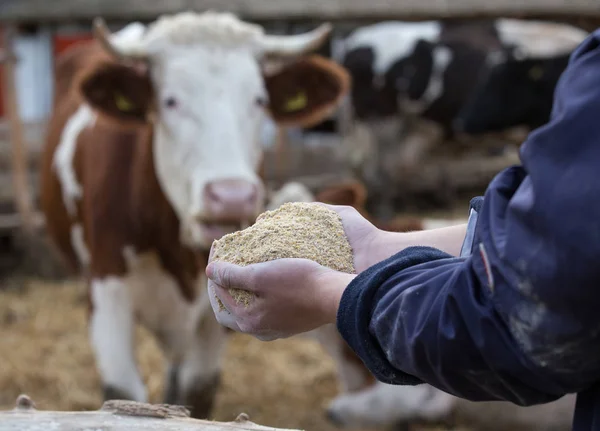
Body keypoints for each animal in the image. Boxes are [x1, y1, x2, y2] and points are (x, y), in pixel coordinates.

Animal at [39, 11, 350, 420]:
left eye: (259, 100)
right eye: (170, 100)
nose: (231, 197)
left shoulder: (212, 316)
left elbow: (198, 391)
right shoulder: (106, 290)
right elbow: (122, 392)